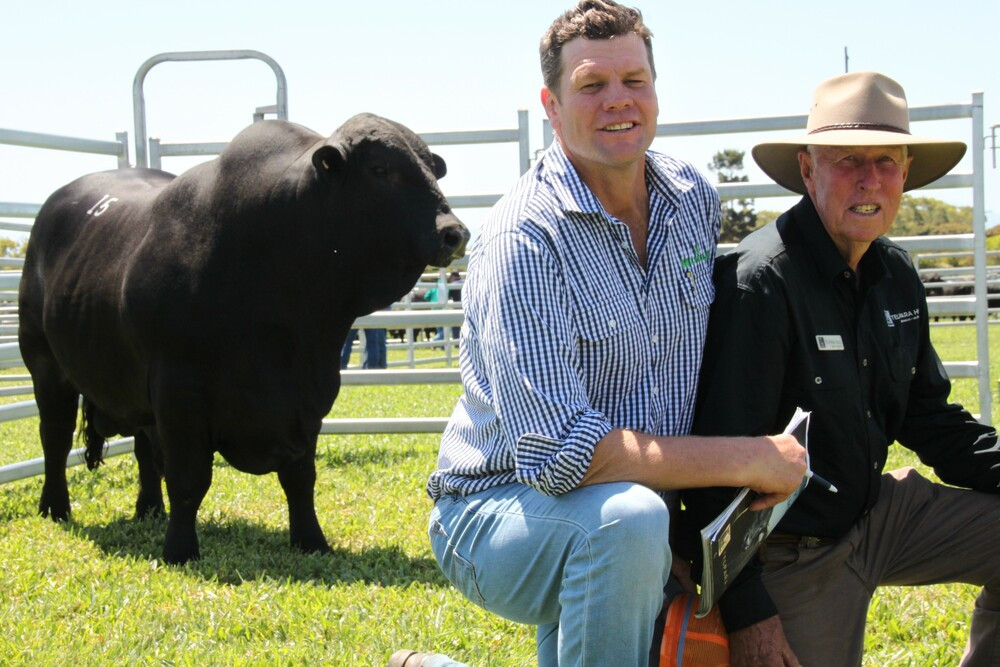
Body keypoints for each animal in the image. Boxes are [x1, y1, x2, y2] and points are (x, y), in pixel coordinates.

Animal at [16, 113, 468, 564]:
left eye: (432, 166)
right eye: (380, 169)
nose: (454, 232)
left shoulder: (311, 395)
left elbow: (300, 478)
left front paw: (312, 541)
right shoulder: (178, 390)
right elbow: (188, 479)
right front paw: (180, 550)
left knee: (143, 448)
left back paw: (149, 509)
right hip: (45, 366)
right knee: (54, 439)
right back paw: (56, 508)